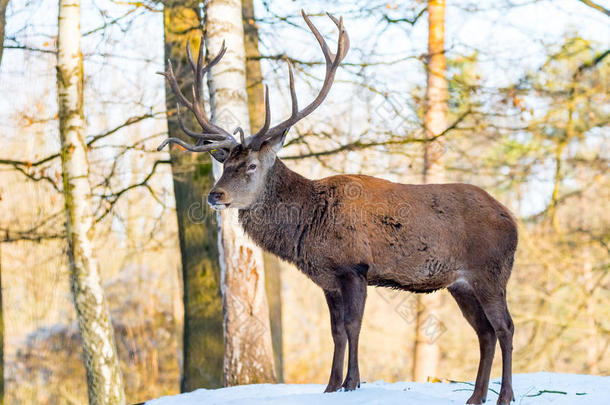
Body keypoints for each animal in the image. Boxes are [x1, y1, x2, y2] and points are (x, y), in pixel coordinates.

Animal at [158, 10, 516, 404]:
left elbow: (353, 325)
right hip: (461, 284)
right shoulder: (327, 278)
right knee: (484, 332)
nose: (215, 195)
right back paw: (476, 396)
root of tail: (513, 220)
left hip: (491, 272)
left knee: (505, 327)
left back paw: (504, 395)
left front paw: (352, 382)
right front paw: (330, 386)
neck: (309, 224)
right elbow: (336, 331)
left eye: (250, 166)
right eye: (224, 165)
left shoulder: (354, 266)